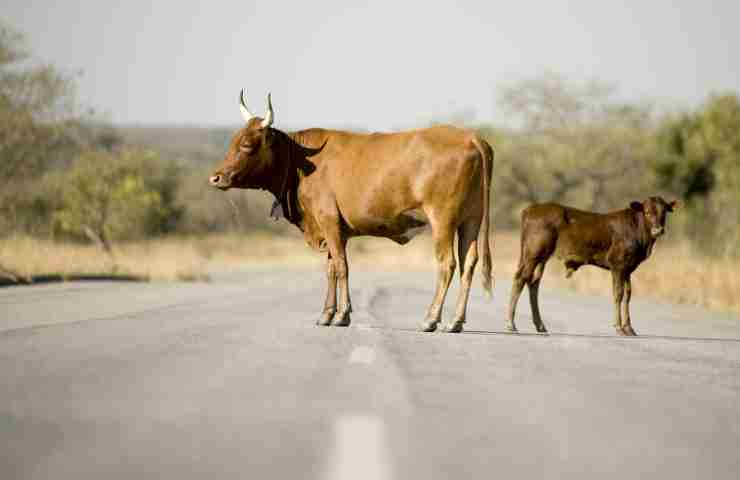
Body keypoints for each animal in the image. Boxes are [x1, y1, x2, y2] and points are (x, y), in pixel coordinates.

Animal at [211, 92, 494, 334]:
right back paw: (455, 321)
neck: (301, 162)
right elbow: (331, 268)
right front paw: (326, 314)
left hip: (442, 219)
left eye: (247, 145)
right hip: (470, 220)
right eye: (233, 141)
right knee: (468, 263)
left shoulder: (328, 220)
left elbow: (342, 266)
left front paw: (342, 315)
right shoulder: (334, 230)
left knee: (447, 263)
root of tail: (470, 137)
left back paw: (431, 319)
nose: (216, 177)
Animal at [506, 197, 680, 336]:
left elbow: (628, 295)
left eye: (664, 212)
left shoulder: (628, 269)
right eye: (647, 212)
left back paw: (540, 325)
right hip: (533, 254)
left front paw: (629, 328)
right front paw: (619, 327)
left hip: (541, 257)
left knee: (533, 282)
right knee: (521, 278)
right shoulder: (618, 265)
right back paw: (511, 324)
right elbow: (618, 294)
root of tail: (529, 210)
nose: (658, 230)